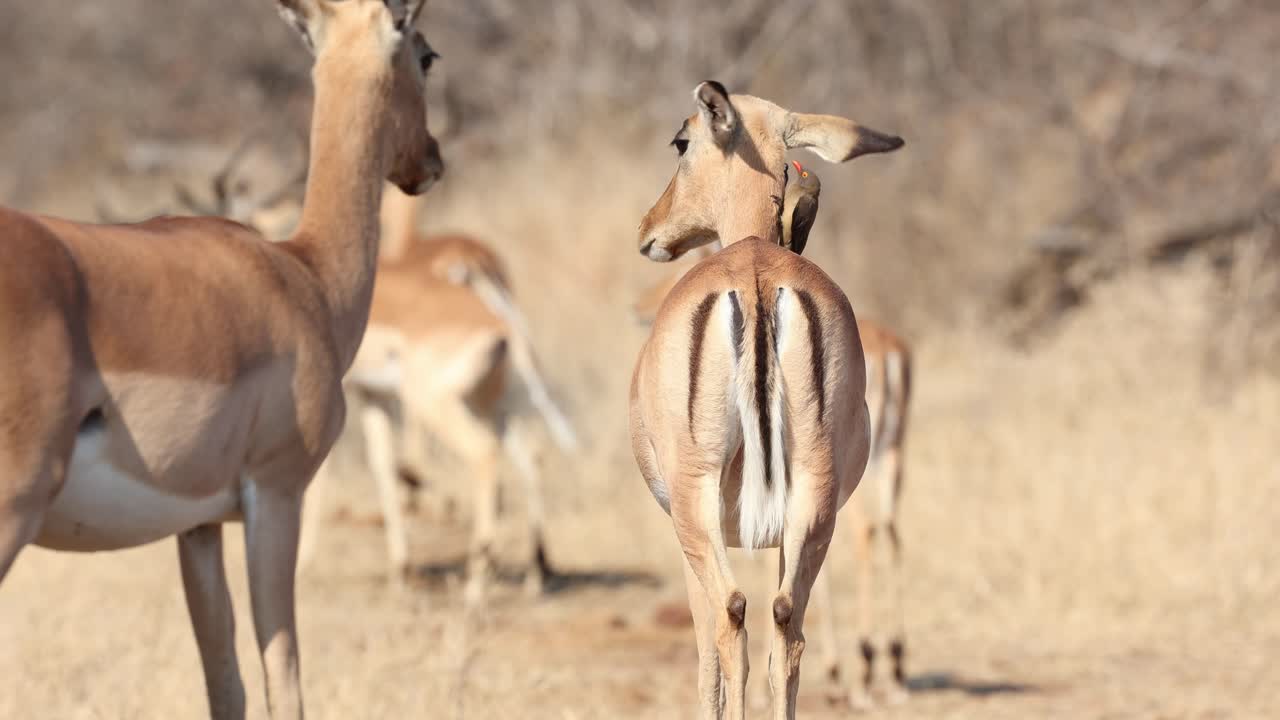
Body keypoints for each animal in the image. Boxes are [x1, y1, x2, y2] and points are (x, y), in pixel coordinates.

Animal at [0, 1, 441, 717]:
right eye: (427, 54)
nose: (430, 159)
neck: (305, 274)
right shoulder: (277, 493)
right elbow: (283, 678)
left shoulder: (199, 525)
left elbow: (224, 684)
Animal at [300, 186, 577, 603]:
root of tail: (502, 326)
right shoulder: (373, 396)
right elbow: (383, 467)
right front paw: (399, 570)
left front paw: (302, 566)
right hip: (491, 406)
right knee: (531, 456)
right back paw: (535, 574)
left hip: (436, 404)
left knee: (484, 456)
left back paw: (476, 587)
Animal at [630, 80, 902, 718]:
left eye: (682, 141)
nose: (651, 229)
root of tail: (755, 280)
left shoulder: (681, 529)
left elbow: (706, 661)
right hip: (816, 499)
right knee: (786, 622)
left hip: (698, 502)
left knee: (733, 616)